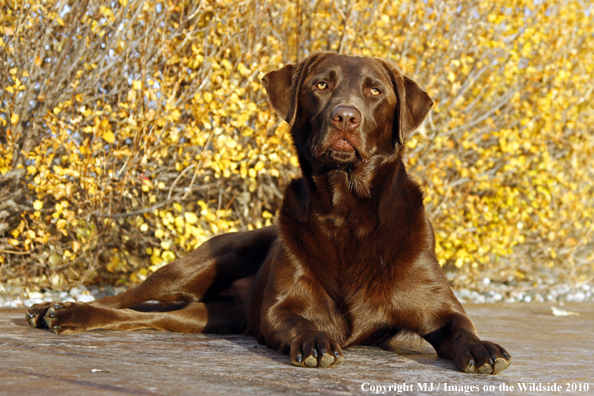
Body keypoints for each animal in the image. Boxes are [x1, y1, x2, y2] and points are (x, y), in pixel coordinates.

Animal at [26, 52, 508, 374]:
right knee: (125, 298)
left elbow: (462, 326)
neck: (347, 211)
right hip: (196, 265)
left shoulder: (440, 307)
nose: (345, 118)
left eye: (375, 91)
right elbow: (298, 320)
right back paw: (57, 310)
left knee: (150, 317)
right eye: (321, 85)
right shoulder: (280, 308)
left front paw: (483, 348)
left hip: (206, 316)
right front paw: (315, 339)